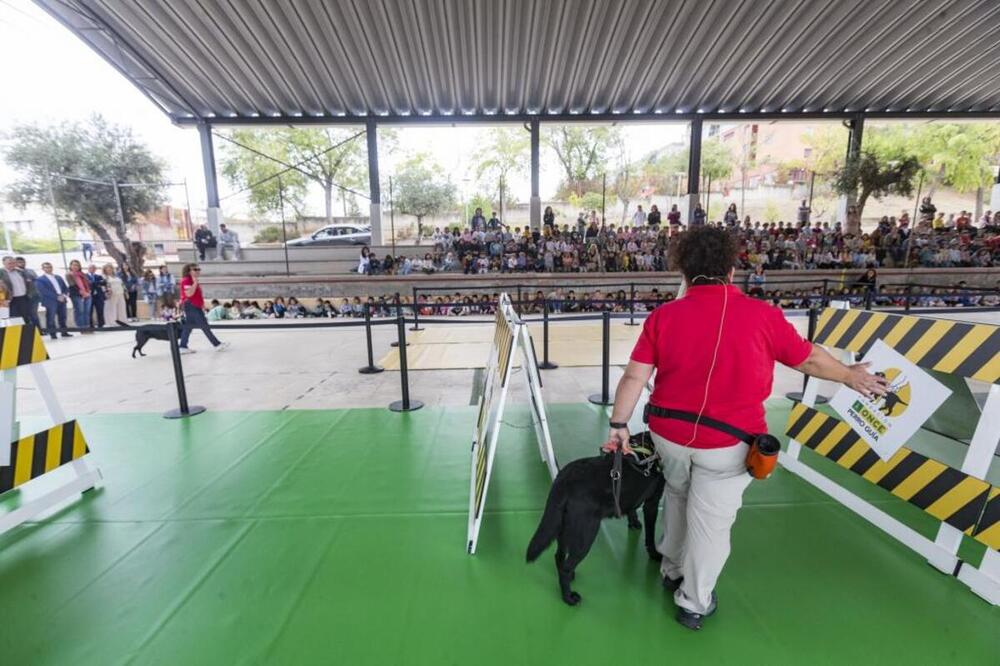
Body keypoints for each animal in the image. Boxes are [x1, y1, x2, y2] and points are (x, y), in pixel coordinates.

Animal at [528, 434, 668, 604]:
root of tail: (564, 479)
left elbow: (632, 509)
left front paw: (633, 522)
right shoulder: (652, 503)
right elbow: (650, 535)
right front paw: (654, 553)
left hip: (564, 526)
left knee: (559, 556)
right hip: (586, 534)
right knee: (566, 567)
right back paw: (568, 597)